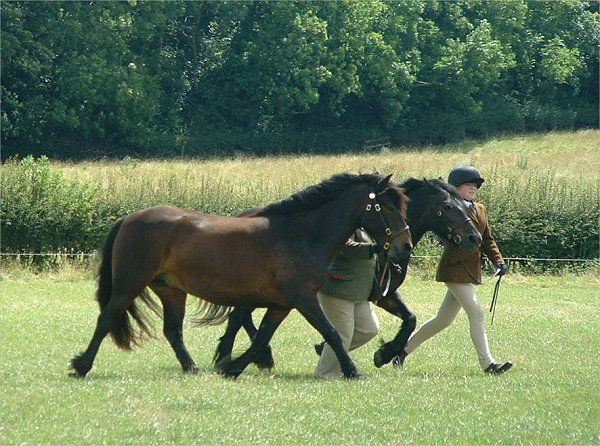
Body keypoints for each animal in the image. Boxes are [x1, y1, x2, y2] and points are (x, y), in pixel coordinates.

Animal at [68, 172, 410, 378]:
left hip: (171, 290)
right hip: (129, 284)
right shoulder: (303, 299)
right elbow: (332, 333)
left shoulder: (281, 305)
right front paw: (353, 371)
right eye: (388, 208)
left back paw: (192, 368)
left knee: (173, 331)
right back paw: (81, 366)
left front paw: (231, 367)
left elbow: (260, 338)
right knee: (106, 319)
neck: (302, 233)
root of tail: (130, 218)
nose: (404, 247)